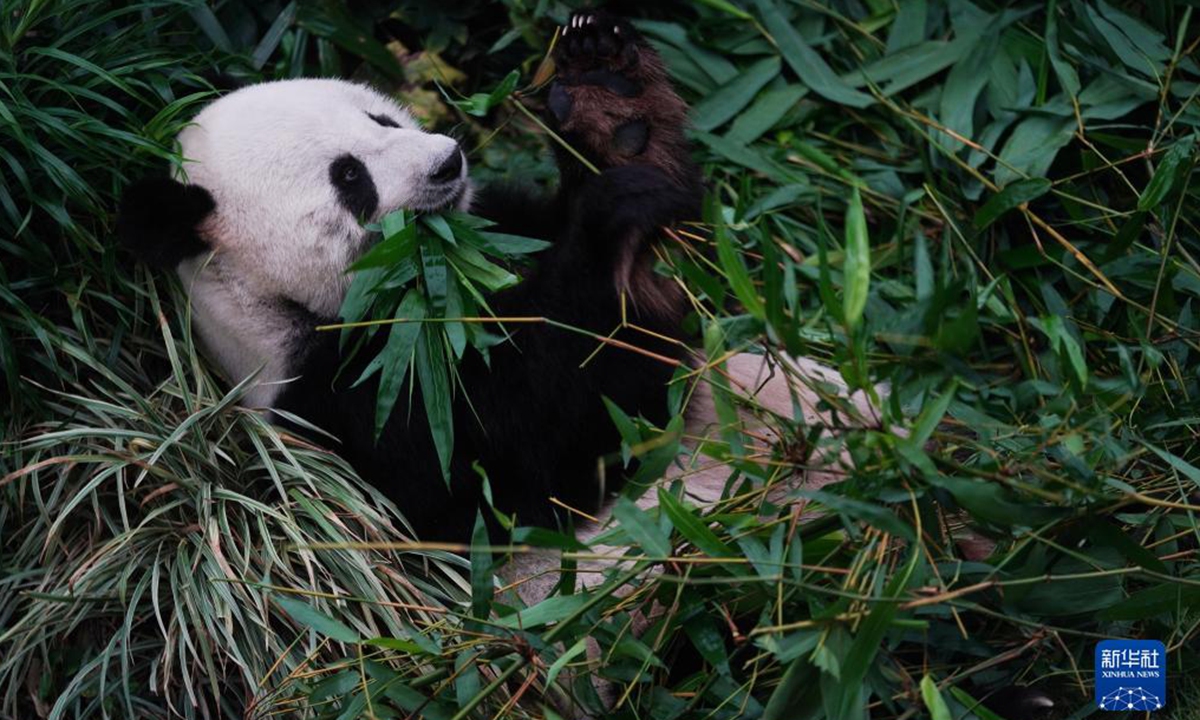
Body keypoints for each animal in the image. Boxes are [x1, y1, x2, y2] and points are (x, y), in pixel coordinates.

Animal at [118, 10, 872, 543]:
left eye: (382, 117)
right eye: (349, 178)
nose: (447, 162)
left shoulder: (506, 227)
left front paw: (613, 103)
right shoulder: (352, 410)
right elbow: (546, 449)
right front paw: (616, 226)